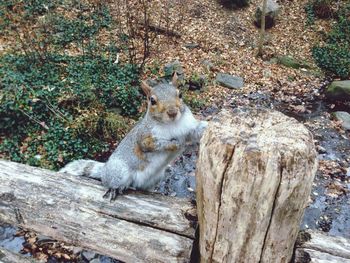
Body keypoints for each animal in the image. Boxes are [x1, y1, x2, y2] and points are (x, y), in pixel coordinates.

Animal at [59, 73, 208, 201]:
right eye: (152, 100)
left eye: (180, 94)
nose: (172, 112)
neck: (172, 124)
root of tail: (105, 169)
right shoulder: (144, 137)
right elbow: (154, 144)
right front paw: (174, 144)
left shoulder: (188, 128)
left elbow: (195, 132)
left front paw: (208, 125)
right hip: (119, 172)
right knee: (109, 183)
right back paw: (114, 189)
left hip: (157, 177)